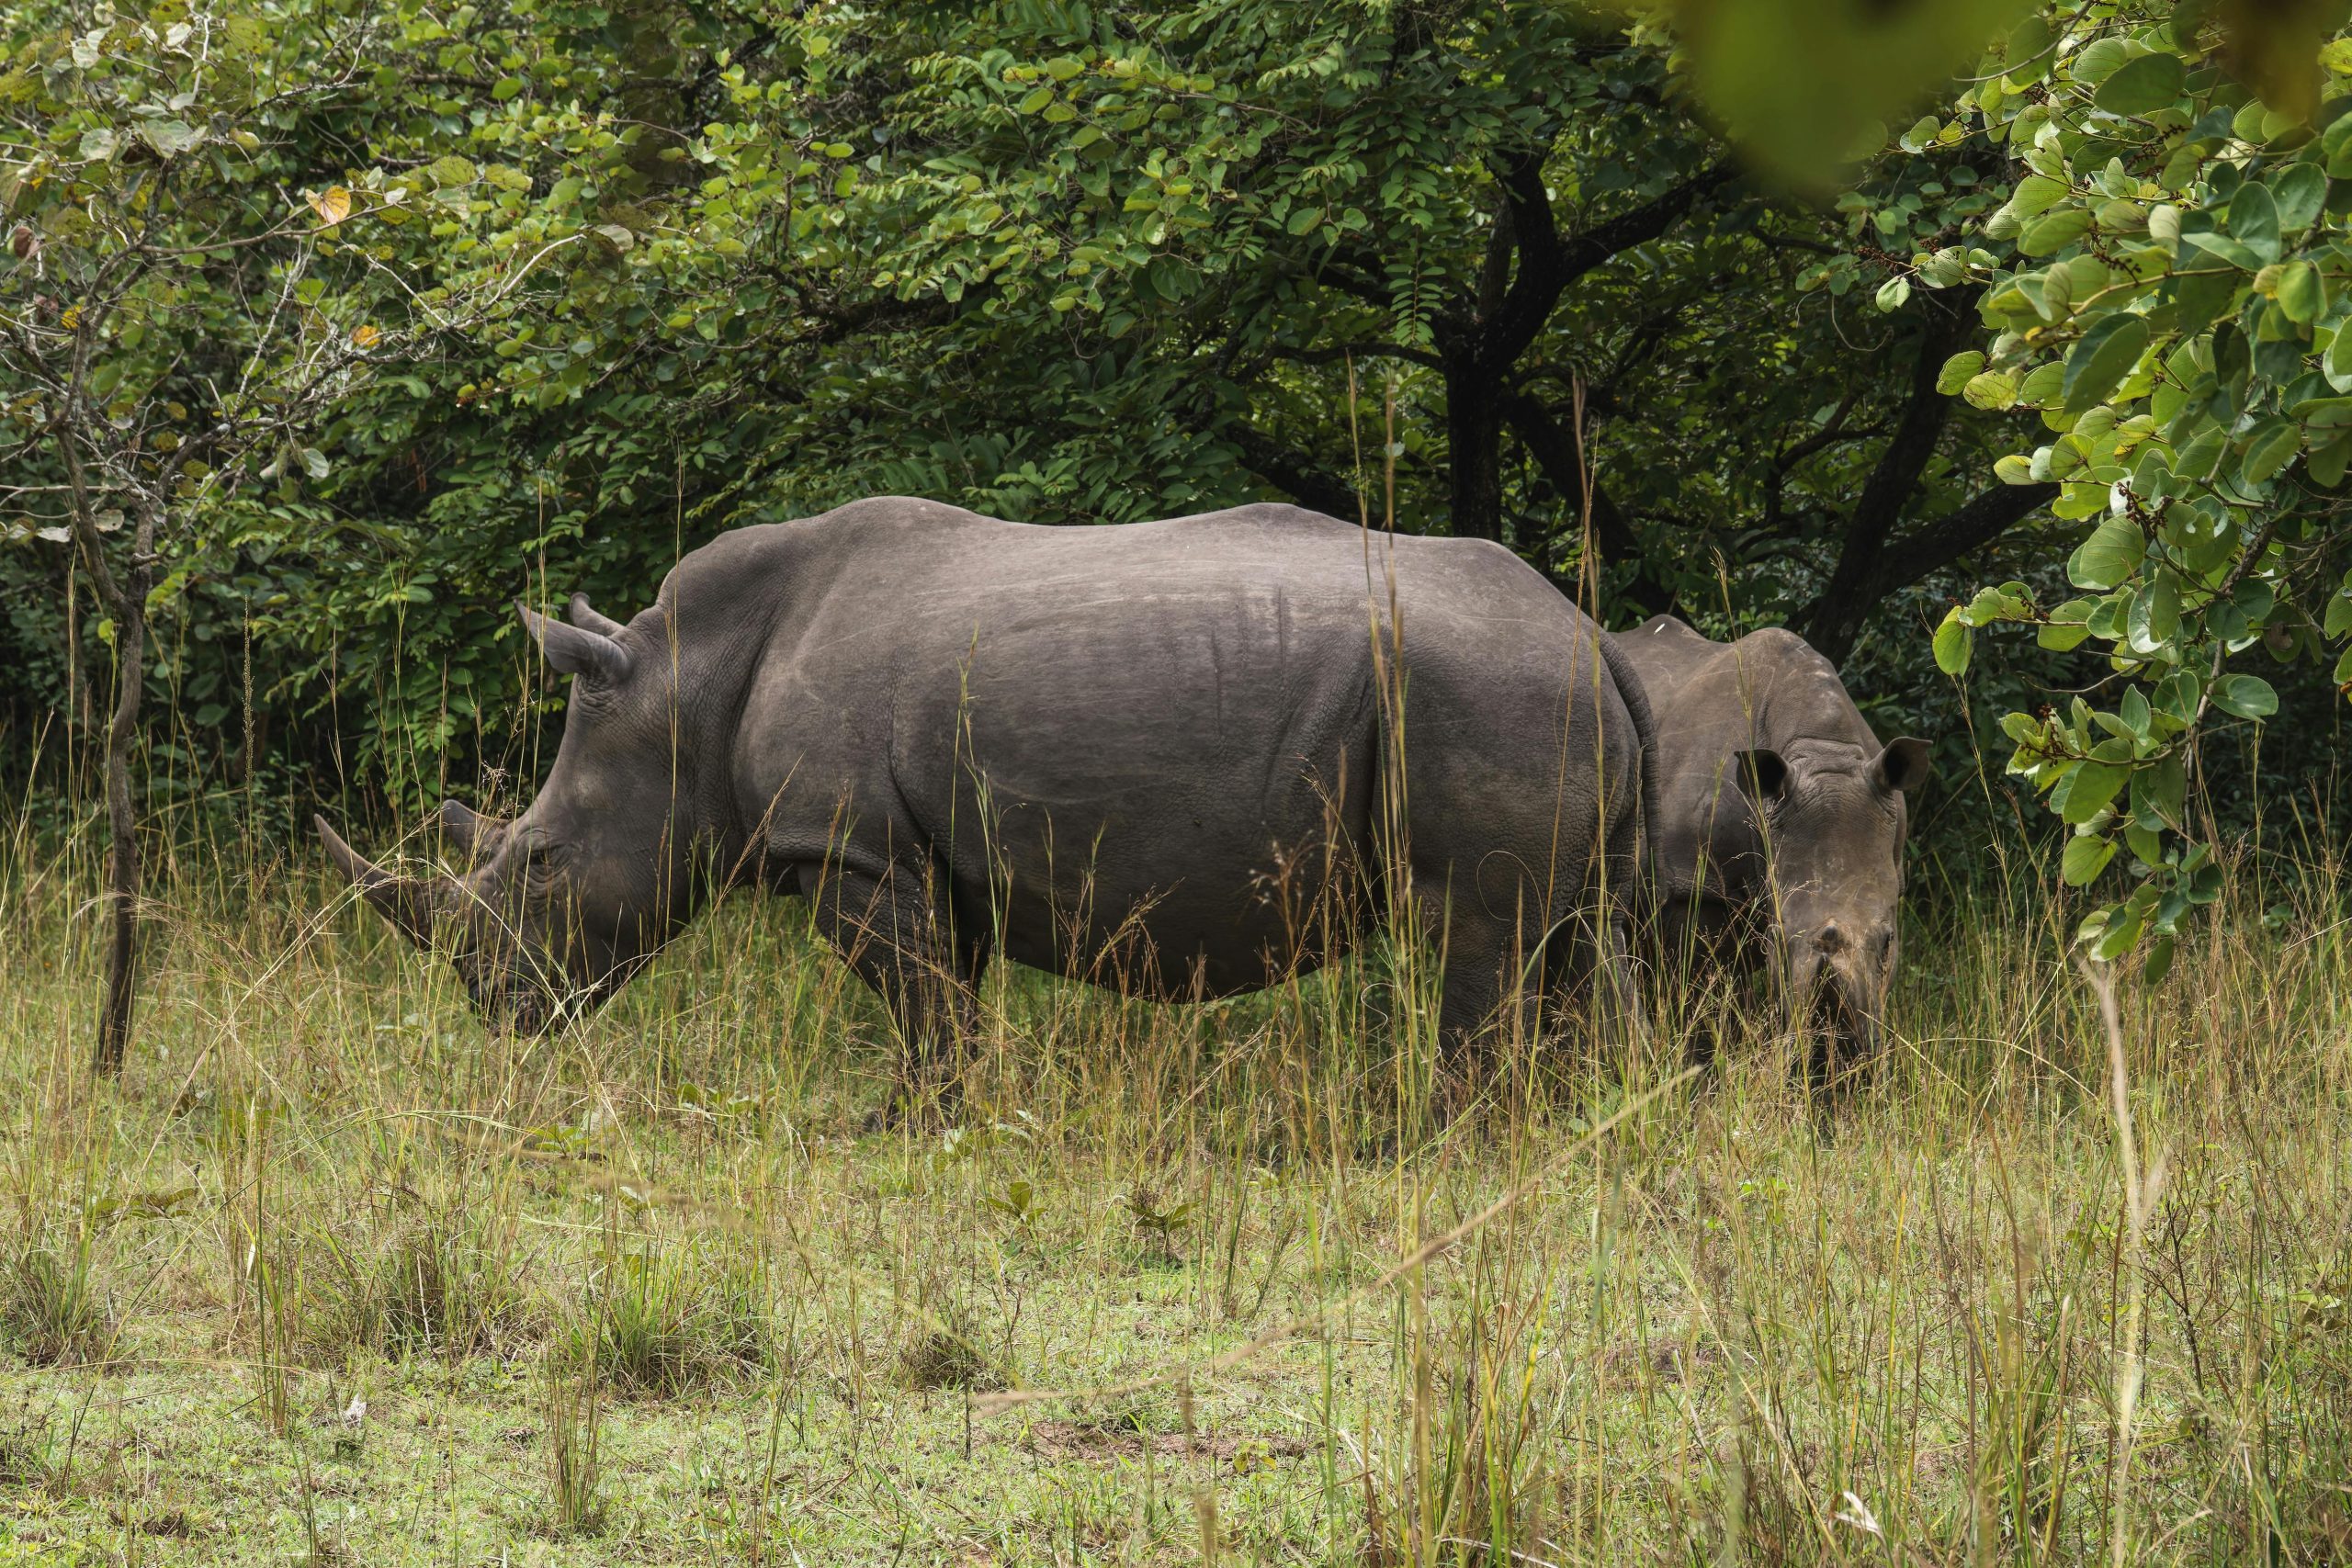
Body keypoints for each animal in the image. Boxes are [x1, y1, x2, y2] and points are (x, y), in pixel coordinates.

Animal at [317, 498, 1657, 1106]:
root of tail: (1592, 636)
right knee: (1560, 934)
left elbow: (919, 1002)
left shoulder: (844, 848)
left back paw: (1427, 1141)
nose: (491, 1002)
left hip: (1484, 691)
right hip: (1530, 699)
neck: (679, 689)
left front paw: (912, 1124)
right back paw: (1538, 1133)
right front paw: (936, 1113)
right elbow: (944, 996)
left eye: (540, 861)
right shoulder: (918, 856)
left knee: (1475, 927)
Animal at [1610, 616, 1930, 1082]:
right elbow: (1702, 1004)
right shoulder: (1693, 885)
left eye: (1888, 942)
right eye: (1774, 938)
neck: (1822, 751)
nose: (1839, 1058)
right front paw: (1706, 1078)